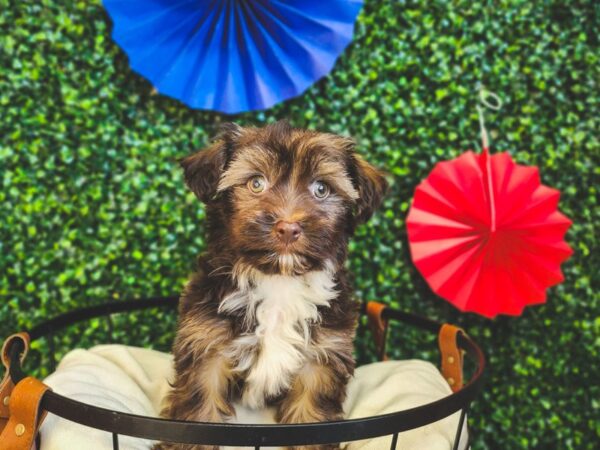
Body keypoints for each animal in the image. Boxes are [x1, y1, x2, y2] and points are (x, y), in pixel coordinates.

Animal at [155, 121, 386, 448]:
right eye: (256, 183)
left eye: (321, 189)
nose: (288, 227)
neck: (278, 279)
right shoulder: (206, 343)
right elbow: (200, 409)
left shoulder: (322, 354)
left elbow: (311, 415)